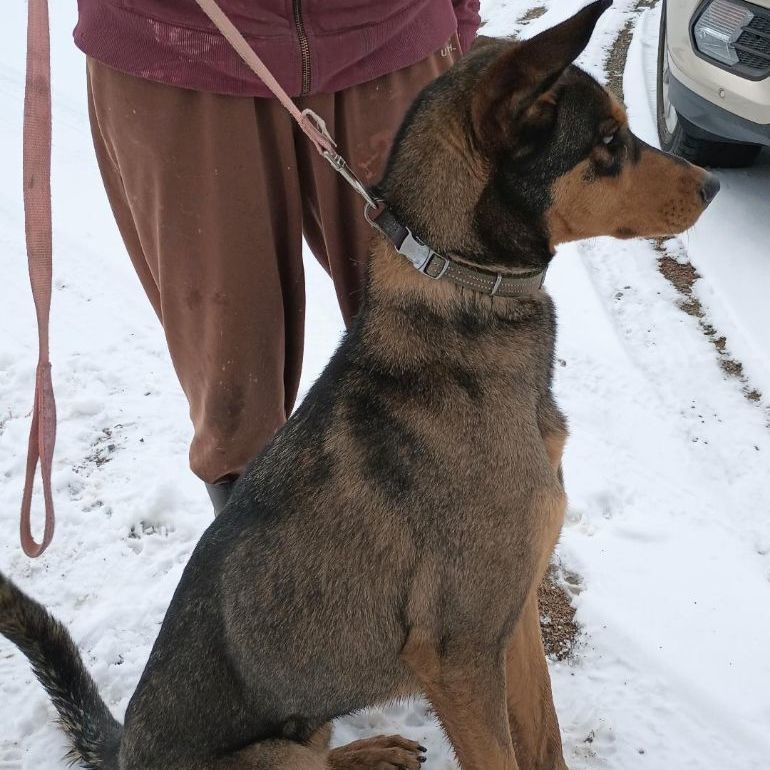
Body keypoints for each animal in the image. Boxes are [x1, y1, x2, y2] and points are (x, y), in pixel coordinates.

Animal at [1, 3, 720, 764]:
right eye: (608, 140)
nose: (713, 186)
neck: (464, 304)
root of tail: (126, 749)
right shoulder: (458, 656)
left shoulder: (513, 615)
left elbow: (544, 738)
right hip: (274, 751)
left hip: (312, 719)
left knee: (322, 750)